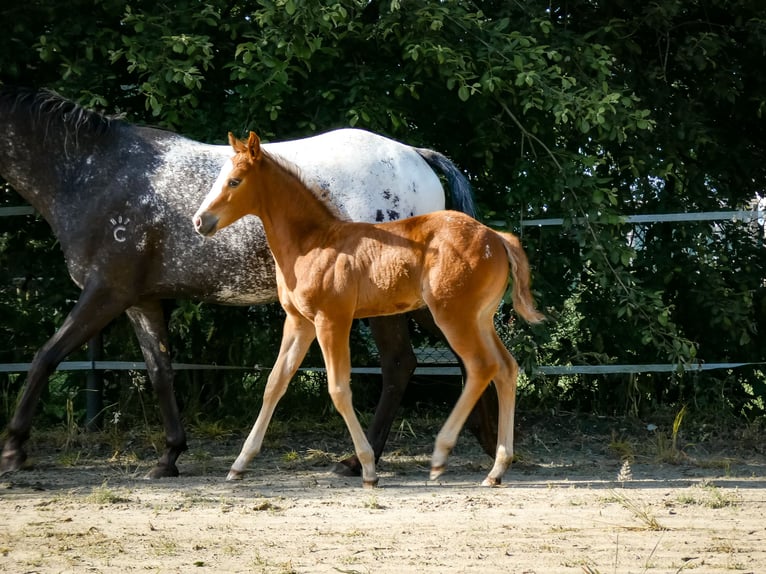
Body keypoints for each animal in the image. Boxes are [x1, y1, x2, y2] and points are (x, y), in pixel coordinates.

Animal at [0, 86, 495, 479]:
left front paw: (14, 448)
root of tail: (416, 157)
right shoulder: (141, 301)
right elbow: (160, 372)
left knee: (400, 364)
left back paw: (361, 461)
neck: (96, 175)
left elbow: (46, 357)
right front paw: (169, 457)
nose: (201, 220)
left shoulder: (106, 293)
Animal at [193, 132, 544, 487]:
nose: (199, 221)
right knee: (506, 368)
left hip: (452, 316)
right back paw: (497, 468)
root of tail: (497, 237)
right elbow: (275, 383)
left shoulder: (331, 320)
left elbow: (338, 389)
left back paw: (442, 455)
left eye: (234, 181)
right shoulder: (299, 322)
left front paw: (367, 468)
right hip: (480, 318)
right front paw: (239, 464)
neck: (312, 242)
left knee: (480, 367)